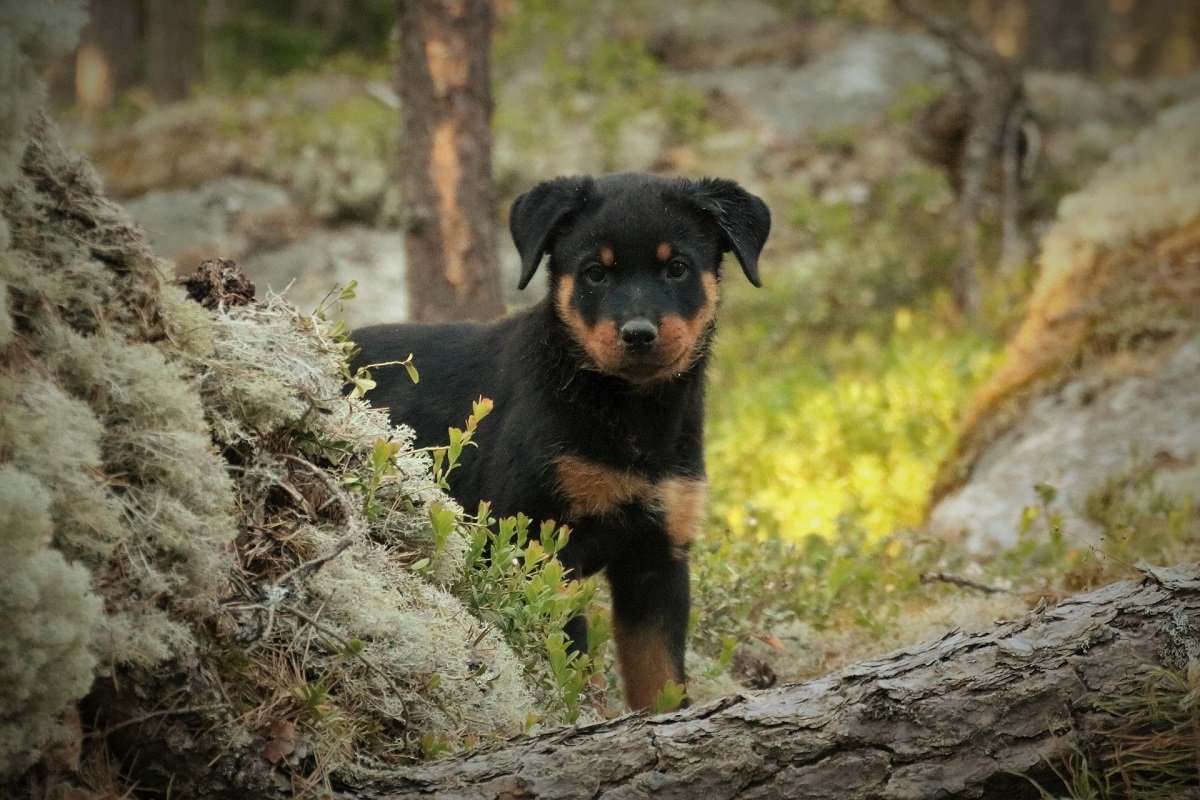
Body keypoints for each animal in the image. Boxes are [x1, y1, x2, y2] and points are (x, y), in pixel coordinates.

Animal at [350, 172, 772, 710]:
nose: (639, 334)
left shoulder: (657, 561)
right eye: (595, 274)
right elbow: (563, 662)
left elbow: (660, 679)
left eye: (677, 268)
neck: (629, 415)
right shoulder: (539, 544)